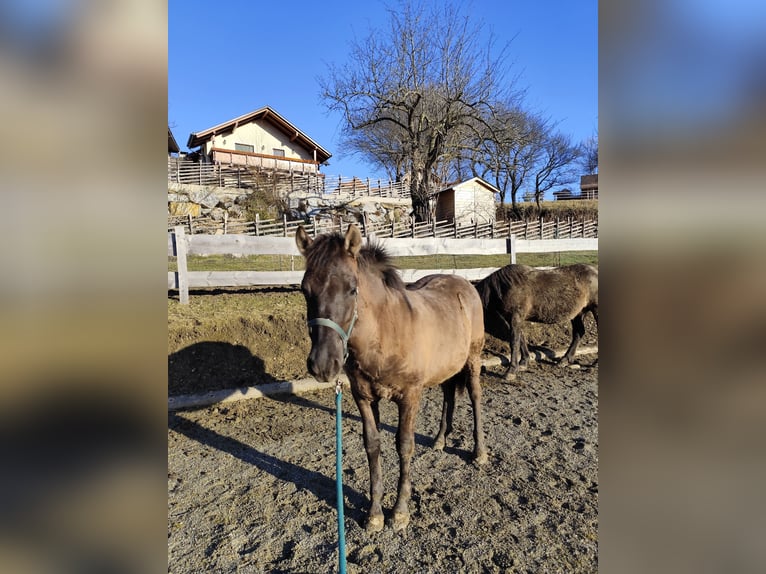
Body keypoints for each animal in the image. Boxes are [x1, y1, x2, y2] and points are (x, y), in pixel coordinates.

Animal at [296, 225, 488, 536]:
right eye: (304, 289)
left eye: (352, 288)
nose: (323, 365)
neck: (385, 335)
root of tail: (465, 284)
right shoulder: (363, 397)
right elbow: (372, 446)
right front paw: (374, 514)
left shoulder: (409, 396)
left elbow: (404, 445)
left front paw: (399, 512)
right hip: (447, 366)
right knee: (448, 393)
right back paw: (439, 440)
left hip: (472, 360)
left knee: (475, 397)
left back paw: (479, 452)